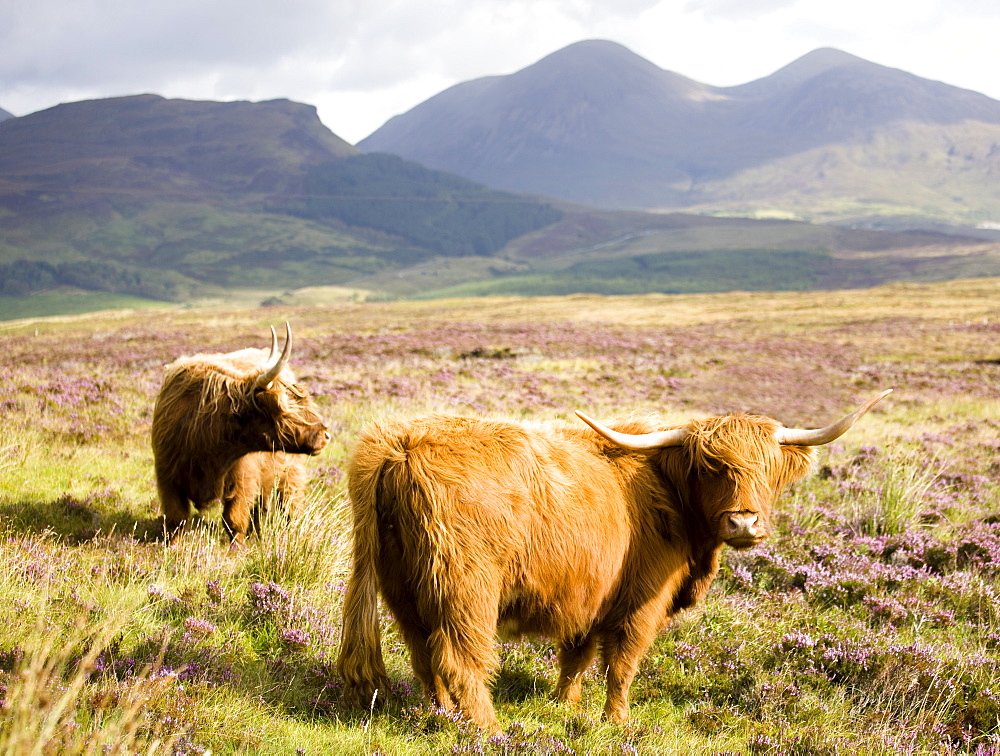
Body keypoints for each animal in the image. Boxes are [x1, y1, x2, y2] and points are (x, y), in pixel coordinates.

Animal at [150, 324, 328, 544]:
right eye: (288, 409)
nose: (325, 435)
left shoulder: (243, 479)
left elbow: (234, 519)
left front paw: (238, 548)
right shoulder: (168, 478)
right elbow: (177, 520)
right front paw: (173, 547)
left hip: (290, 471)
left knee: (288, 502)